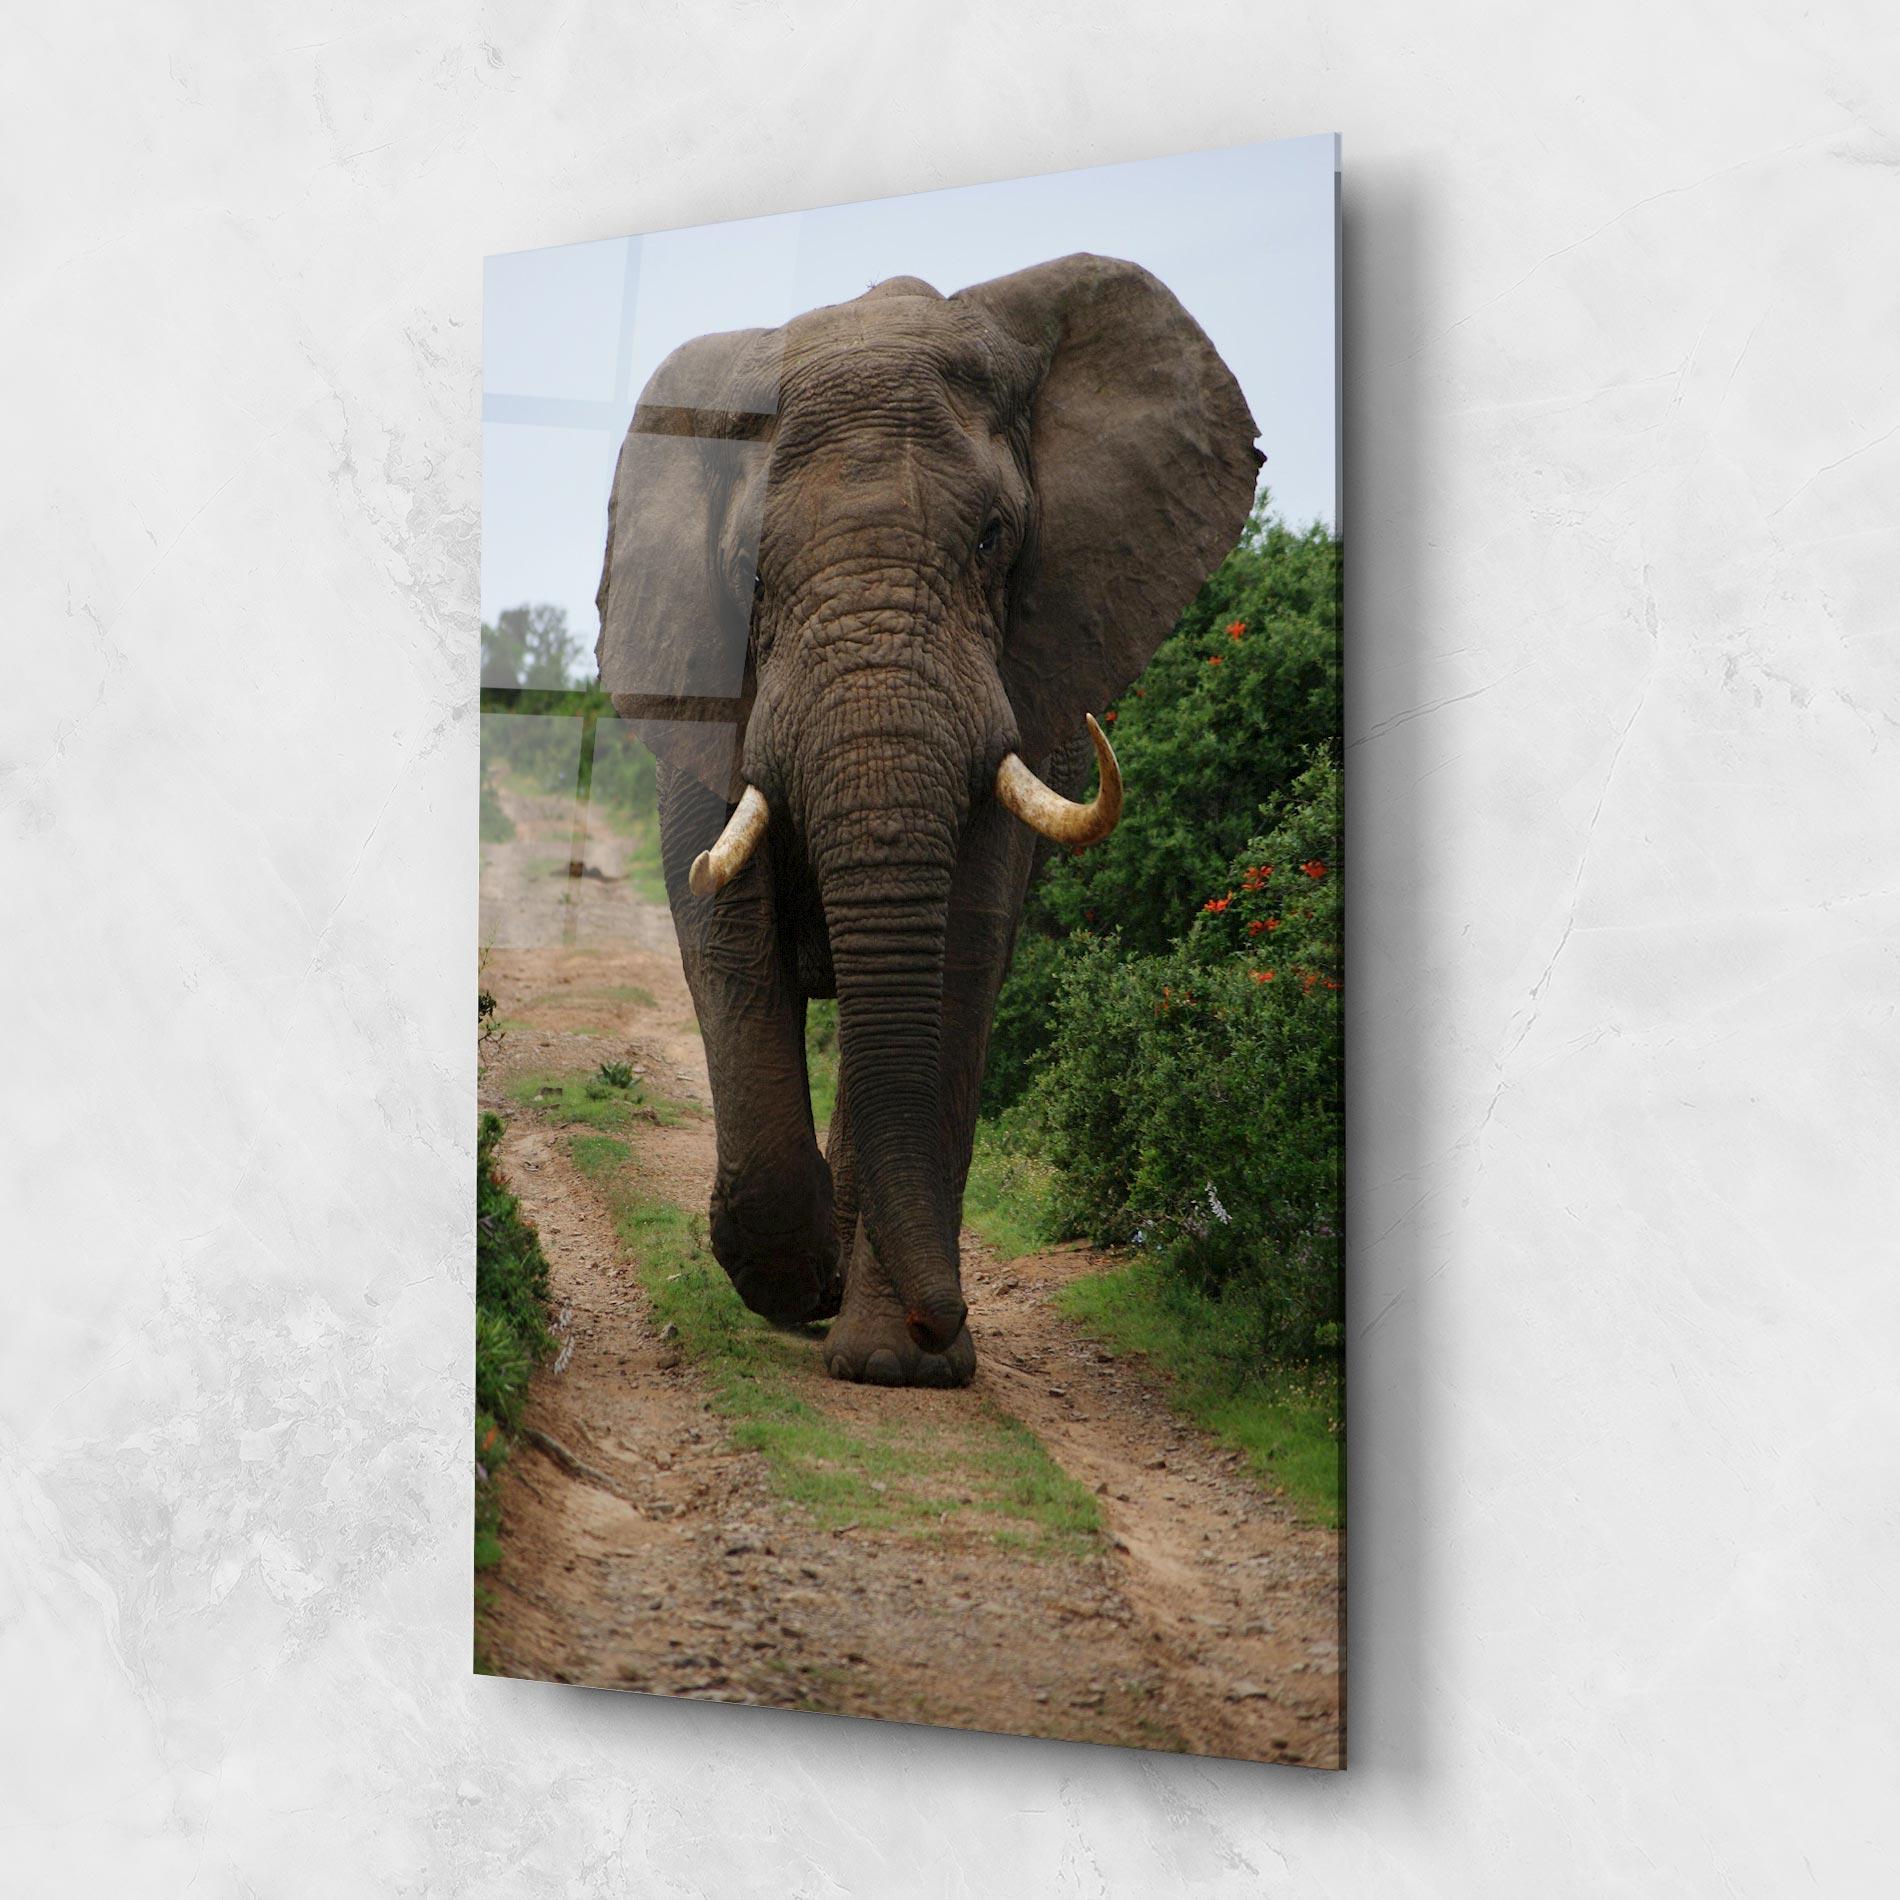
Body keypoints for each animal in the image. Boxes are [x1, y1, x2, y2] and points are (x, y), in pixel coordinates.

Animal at [594, 253, 1260, 1388]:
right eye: (750, 575)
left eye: (994, 539)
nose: (945, 1320)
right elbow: (726, 942)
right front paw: (791, 1280)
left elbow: (957, 959)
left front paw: (898, 1366)